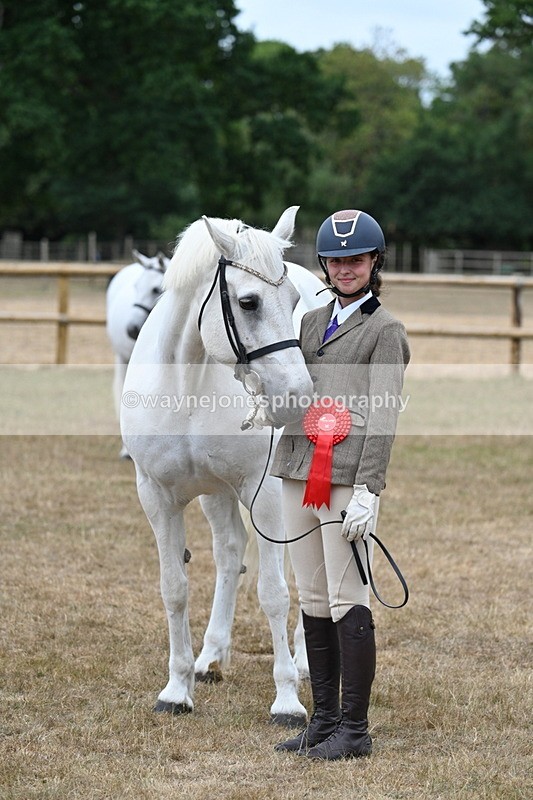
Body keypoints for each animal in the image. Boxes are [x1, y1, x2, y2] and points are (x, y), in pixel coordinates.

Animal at [121, 207, 326, 725]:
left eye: (293, 300)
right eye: (248, 302)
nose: (298, 397)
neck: (187, 382)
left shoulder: (266, 491)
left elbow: (274, 592)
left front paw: (287, 700)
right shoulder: (156, 496)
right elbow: (174, 587)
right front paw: (177, 689)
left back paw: (303, 661)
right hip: (215, 494)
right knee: (231, 553)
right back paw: (210, 657)